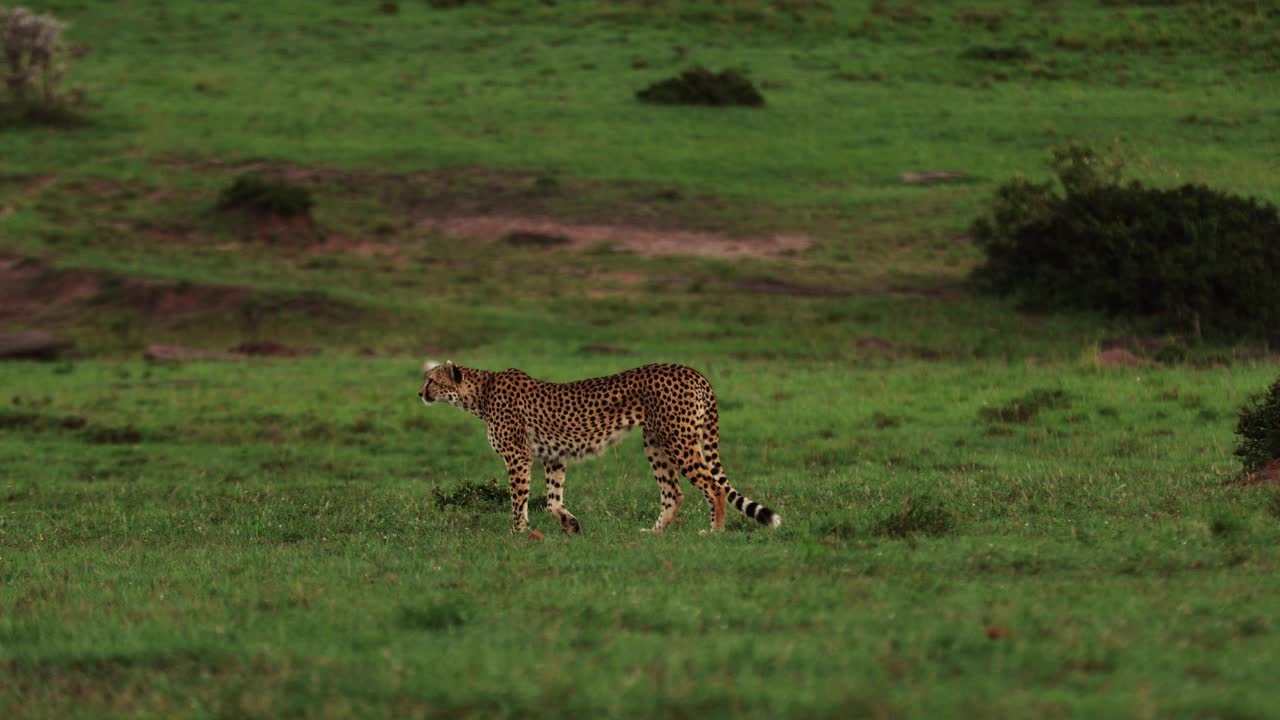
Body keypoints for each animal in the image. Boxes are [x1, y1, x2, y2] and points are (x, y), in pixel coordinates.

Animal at [419, 361, 778, 530]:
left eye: (431, 380)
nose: (420, 393)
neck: (481, 392)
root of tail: (694, 372)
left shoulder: (519, 457)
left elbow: (518, 498)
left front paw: (517, 532)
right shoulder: (553, 456)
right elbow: (553, 499)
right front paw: (569, 523)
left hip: (678, 441)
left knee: (714, 488)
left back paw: (713, 532)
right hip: (656, 442)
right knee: (674, 493)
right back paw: (655, 533)